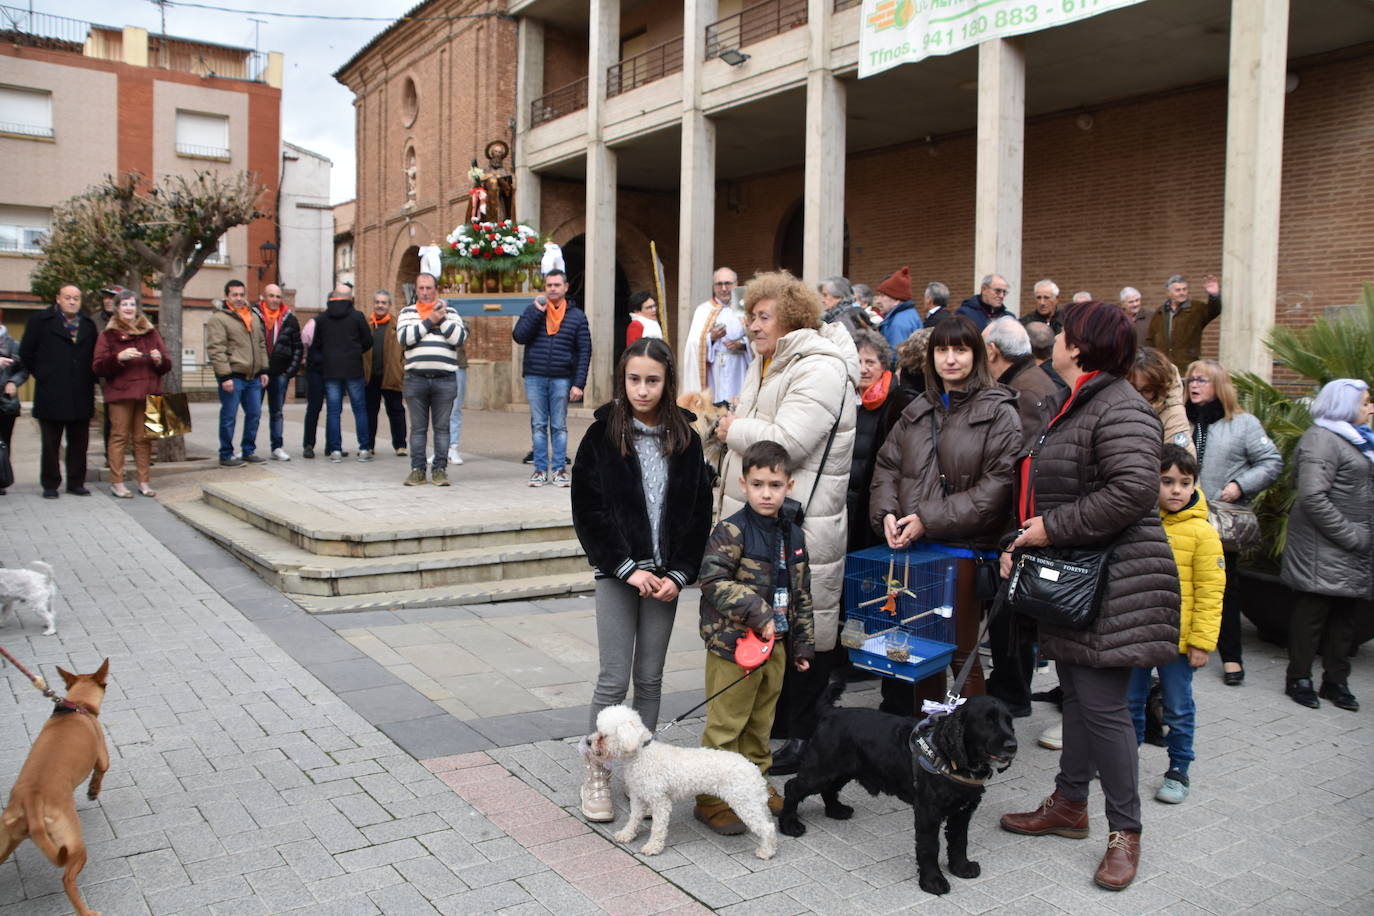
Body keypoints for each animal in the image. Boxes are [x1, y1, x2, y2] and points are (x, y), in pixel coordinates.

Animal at [1, 659, 109, 916]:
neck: (78, 706)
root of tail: (31, 803)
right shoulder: (102, 756)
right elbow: (100, 773)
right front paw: (92, 792)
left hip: (5, 838)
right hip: (74, 844)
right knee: (67, 880)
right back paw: (87, 912)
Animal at [585, 708, 780, 862]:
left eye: (603, 735)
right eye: (597, 729)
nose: (587, 741)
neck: (642, 754)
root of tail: (754, 770)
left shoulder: (660, 801)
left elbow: (658, 828)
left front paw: (653, 847)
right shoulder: (639, 797)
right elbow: (633, 818)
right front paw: (626, 835)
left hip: (744, 803)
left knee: (768, 828)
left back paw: (766, 852)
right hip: (752, 802)